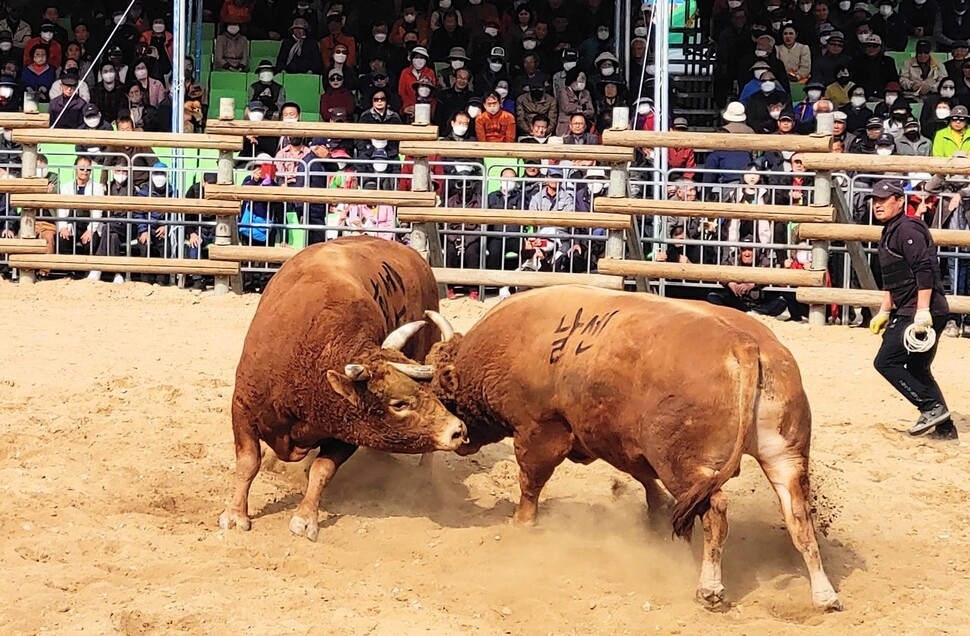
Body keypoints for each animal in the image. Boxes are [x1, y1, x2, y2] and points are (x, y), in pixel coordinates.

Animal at [218, 236, 466, 540]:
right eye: (398, 404)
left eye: (430, 393)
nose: (457, 430)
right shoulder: (242, 408)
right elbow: (248, 463)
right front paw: (235, 514)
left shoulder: (347, 430)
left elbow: (322, 470)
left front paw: (305, 518)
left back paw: (424, 477)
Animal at [416, 288, 840, 612]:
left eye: (442, 395)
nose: (458, 439)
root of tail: (744, 344)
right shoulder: (625, 444)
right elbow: (645, 480)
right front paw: (655, 512)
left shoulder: (539, 431)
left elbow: (530, 481)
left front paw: (522, 522)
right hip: (784, 457)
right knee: (798, 517)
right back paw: (824, 594)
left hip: (687, 466)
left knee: (716, 512)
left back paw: (709, 588)